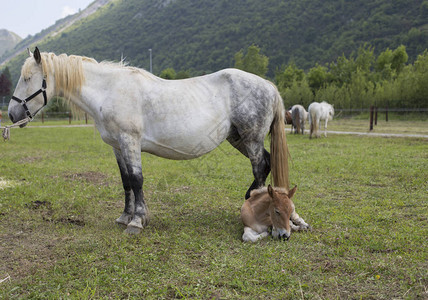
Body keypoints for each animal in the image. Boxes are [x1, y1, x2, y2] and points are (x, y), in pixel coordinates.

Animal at [8, 47, 290, 234]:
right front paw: (125, 216)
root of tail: (268, 85)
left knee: (259, 167)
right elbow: (125, 182)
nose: (12, 114)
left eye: (27, 78)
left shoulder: (130, 141)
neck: (110, 90)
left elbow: (137, 180)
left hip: (251, 139)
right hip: (238, 138)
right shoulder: (117, 146)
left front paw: (137, 221)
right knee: (265, 163)